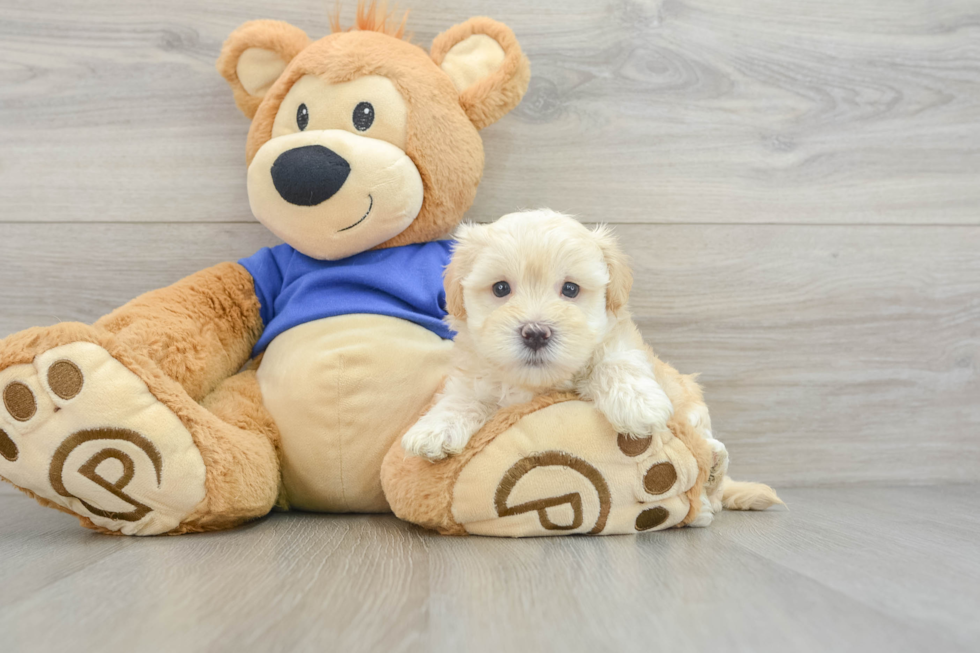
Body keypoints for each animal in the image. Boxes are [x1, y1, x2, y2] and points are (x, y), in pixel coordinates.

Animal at [400, 208, 680, 458]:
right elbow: (464, 394)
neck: (538, 384)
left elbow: (617, 361)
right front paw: (436, 427)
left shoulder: (618, 339)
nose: (535, 333)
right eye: (500, 288)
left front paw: (637, 402)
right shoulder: (475, 372)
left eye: (570, 289)